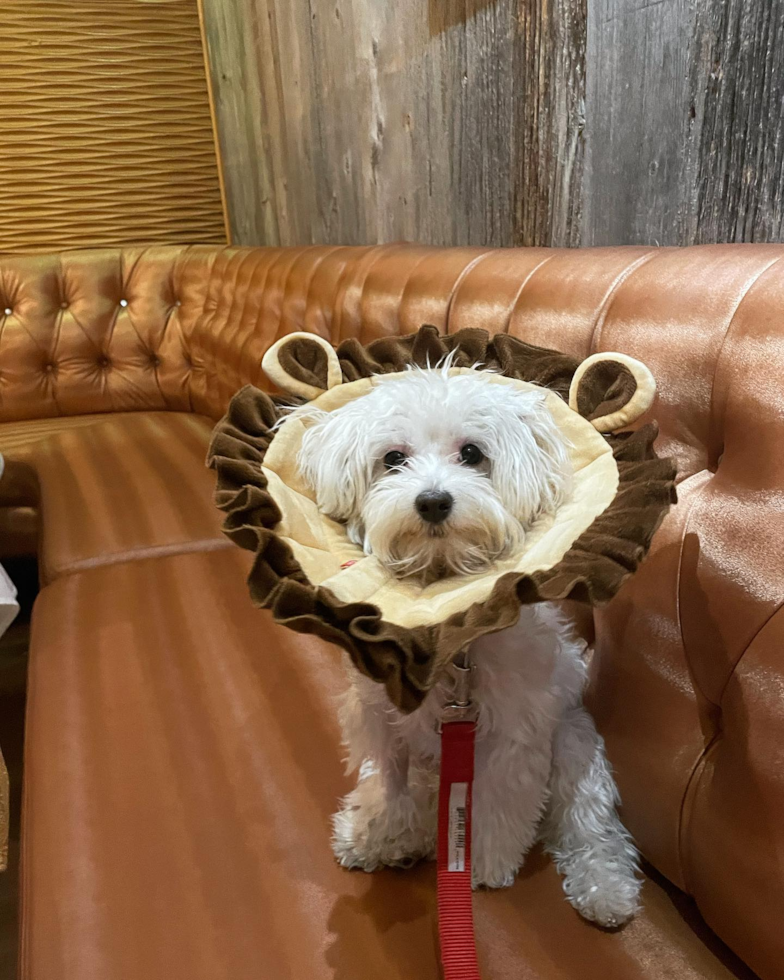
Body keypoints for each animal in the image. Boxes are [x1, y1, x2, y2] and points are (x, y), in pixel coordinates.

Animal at [294, 364, 644, 932]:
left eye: (473, 454)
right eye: (393, 458)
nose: (433, 501)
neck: (451, 646)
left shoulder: (513, 734)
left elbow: (500, 804)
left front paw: (483, 863)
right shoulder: (379, 717)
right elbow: (386, 781)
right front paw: (378, 830)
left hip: (575, 748)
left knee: (588, 827)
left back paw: (606, 889)